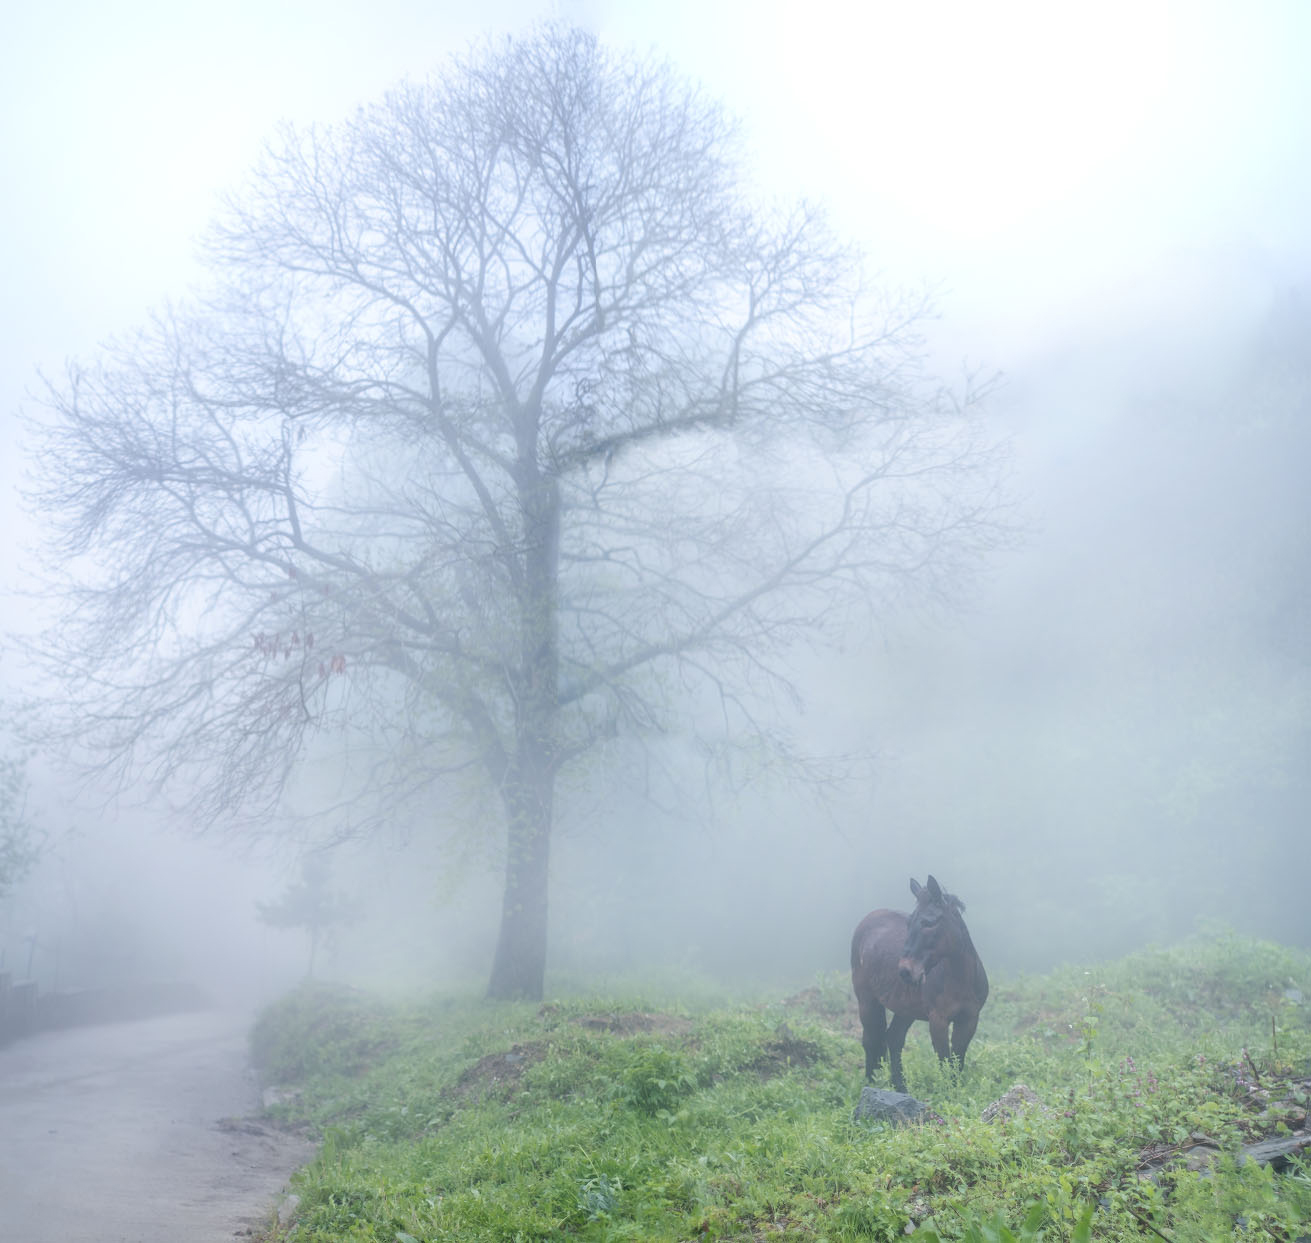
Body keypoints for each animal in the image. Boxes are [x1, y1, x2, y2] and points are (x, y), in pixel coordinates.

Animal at [844, 870, 985, 1090]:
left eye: (929, 922)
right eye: (909, 923)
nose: (905, 971)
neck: (960, 980)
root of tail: (870, 917)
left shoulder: (969, 1019)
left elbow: (957, 1062)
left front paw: (956, 1092)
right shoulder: (938, 1021)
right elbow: (945, 1061)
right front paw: (948, 1093)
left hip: (905, 1009)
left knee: (893, 1038)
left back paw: (900, 1087)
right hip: (867, 1000)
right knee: (871, 1040)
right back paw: (871, 1082)